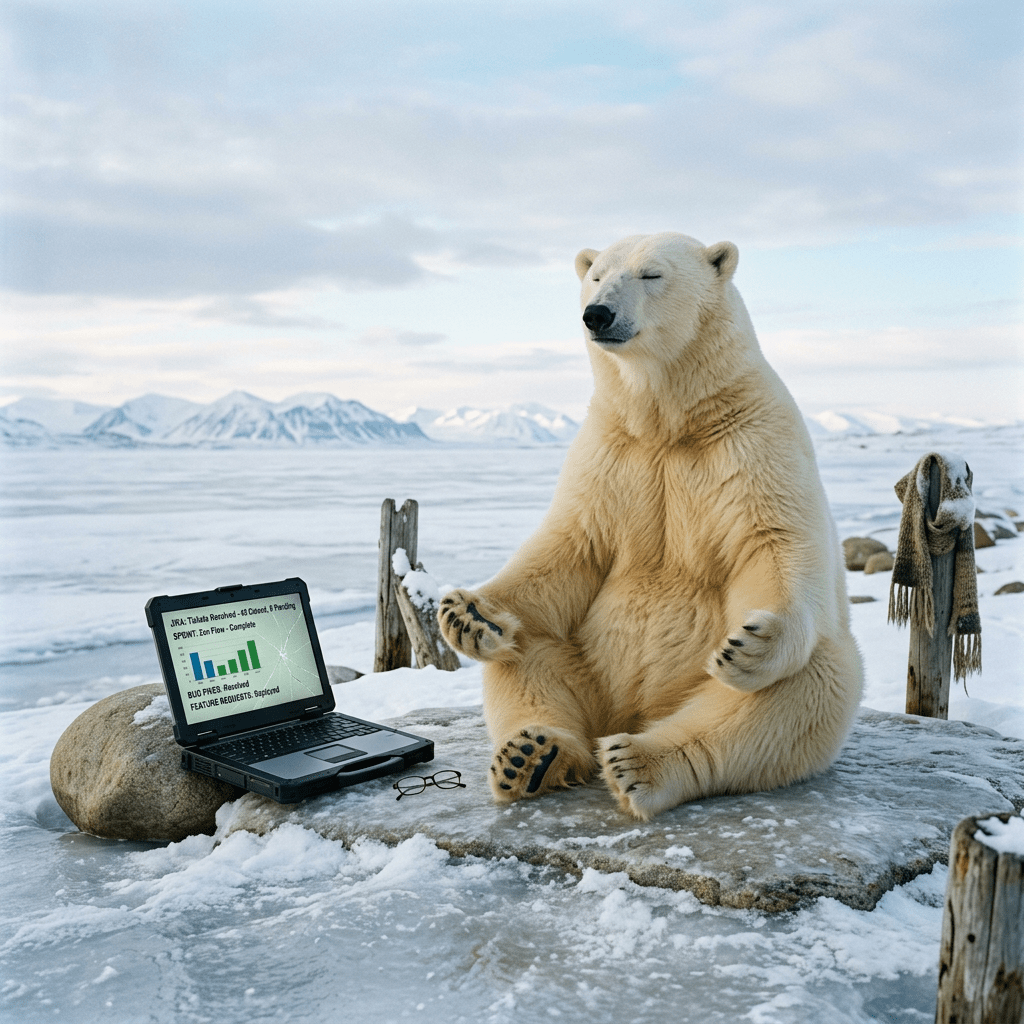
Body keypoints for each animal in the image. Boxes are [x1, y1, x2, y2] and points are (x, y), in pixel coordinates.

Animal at [438, 231, 864, 821]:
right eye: (596, 276)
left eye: (651, 274)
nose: (597, 314)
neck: (669, 420)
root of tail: (632, 712)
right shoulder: (610, 451)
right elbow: (569, 546)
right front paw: (467, 612)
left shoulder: (753, 440)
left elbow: (772, 541)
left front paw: (750, 644)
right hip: (588, 663)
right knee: (529, 651)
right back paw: (533, 755)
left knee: (802, 690)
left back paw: (640, 762)